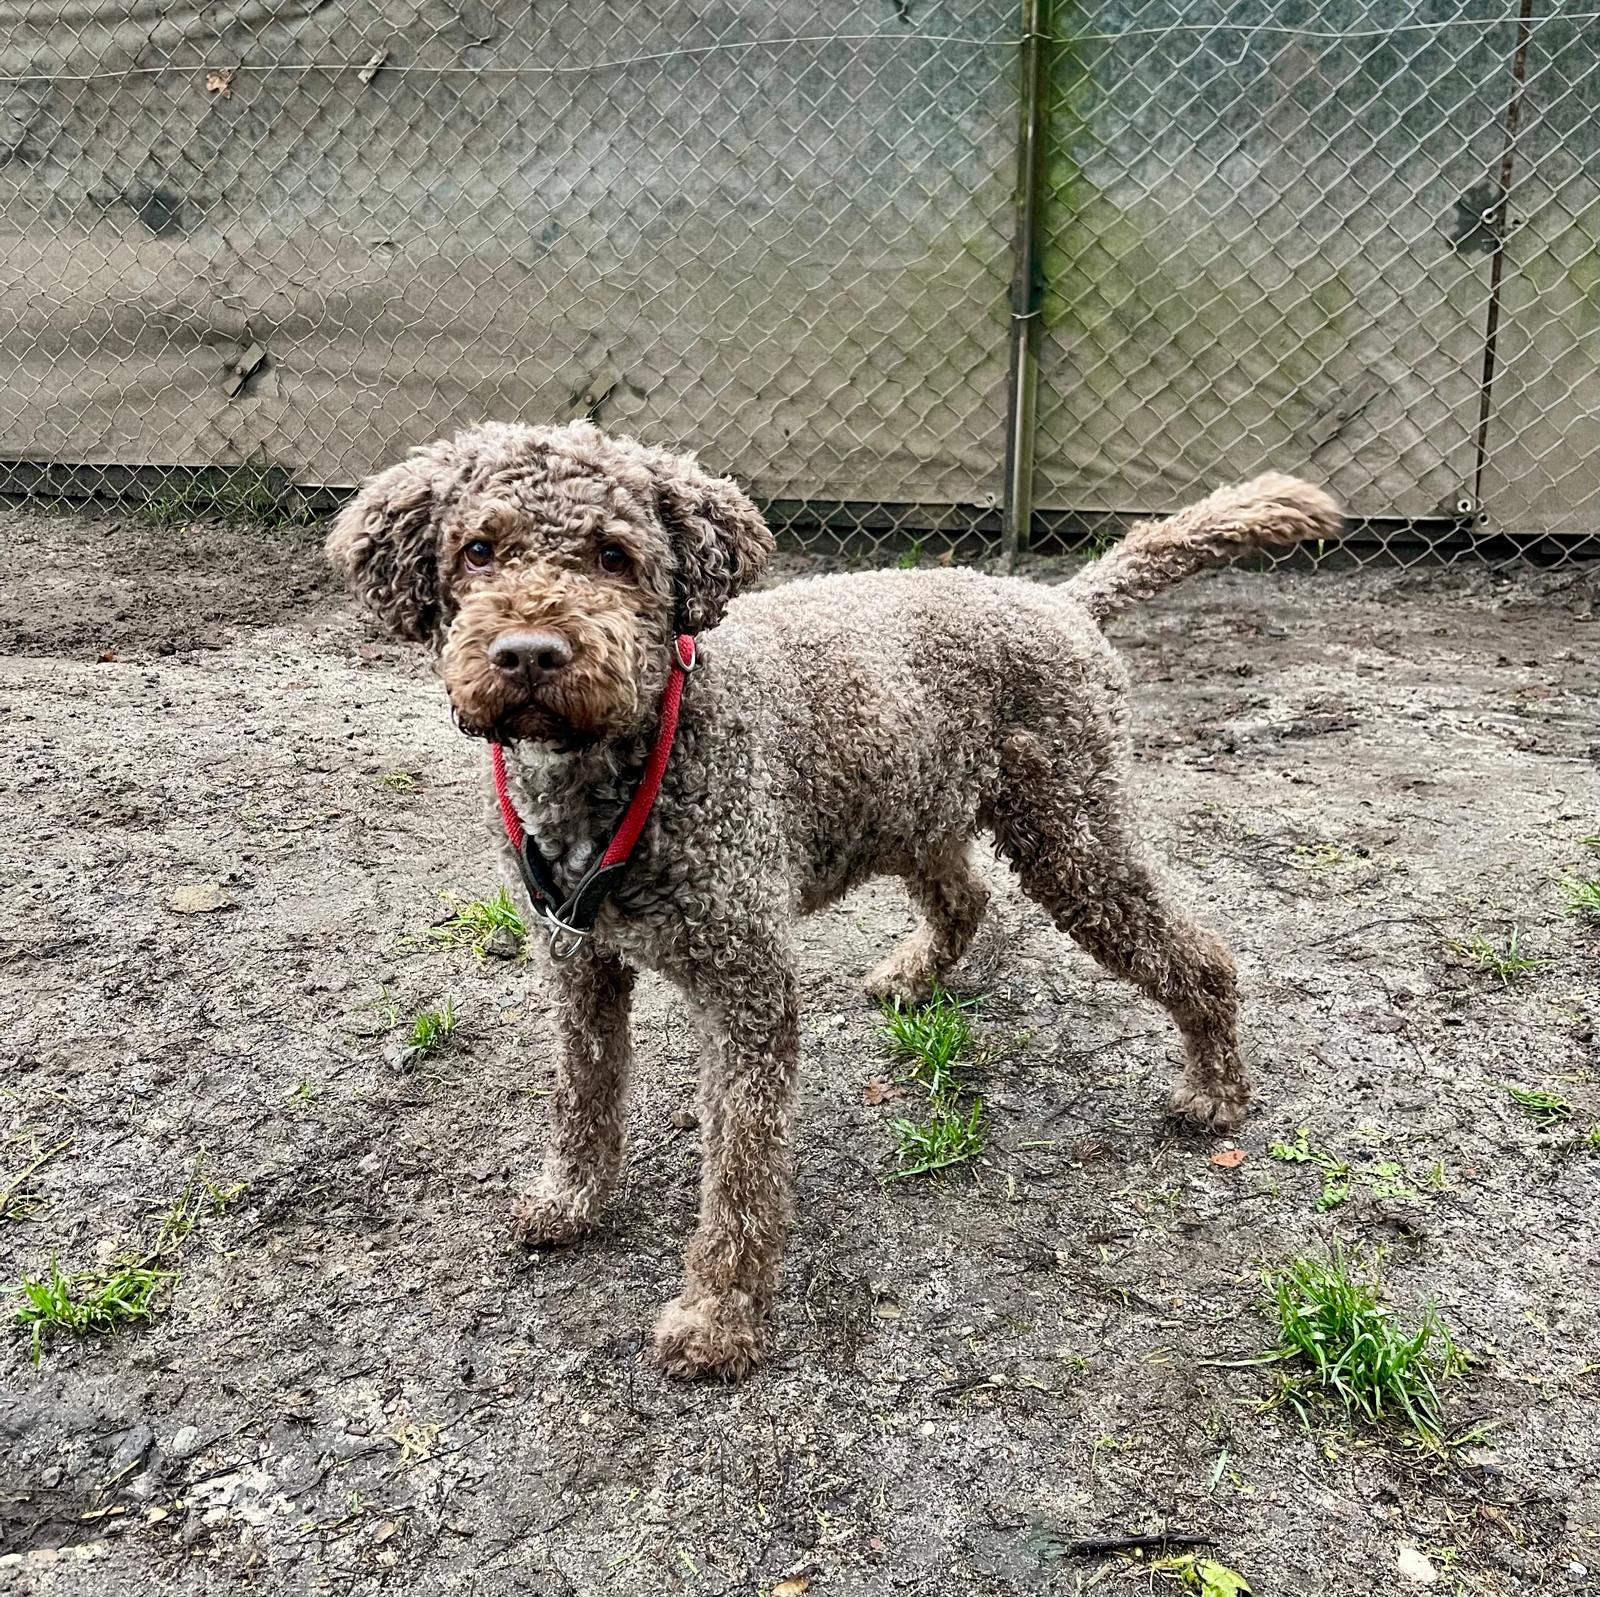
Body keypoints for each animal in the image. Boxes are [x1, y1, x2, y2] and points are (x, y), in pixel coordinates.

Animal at [331, 422, 1344, 1376]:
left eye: (614, 555)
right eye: (479, 549)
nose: (531, 653)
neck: (622, 761)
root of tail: (1059, 598)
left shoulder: (746, 984)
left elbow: (740, 1171)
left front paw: (719, 1316)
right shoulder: (578, 963)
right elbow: (582, 1095)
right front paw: (571, 1199)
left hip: (1072, 835)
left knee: (1197, 956)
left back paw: (1216, 1089)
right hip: (919, 804)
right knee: (966, 894)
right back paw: (915, 974)